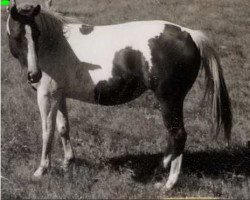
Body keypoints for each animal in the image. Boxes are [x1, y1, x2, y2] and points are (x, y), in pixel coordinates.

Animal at [6, 0, 232, 191]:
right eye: (18, 36)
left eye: (36, 34)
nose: (34, 75)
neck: (55, 43)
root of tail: (191, 34)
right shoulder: (59, 95)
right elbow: (63, 128)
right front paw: (67, 162)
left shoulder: (46, 96)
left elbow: (48, 132)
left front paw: (41, 170)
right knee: (172, 136)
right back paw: (160, 169)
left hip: (169, 99)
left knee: (178, 135)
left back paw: (169, 183)